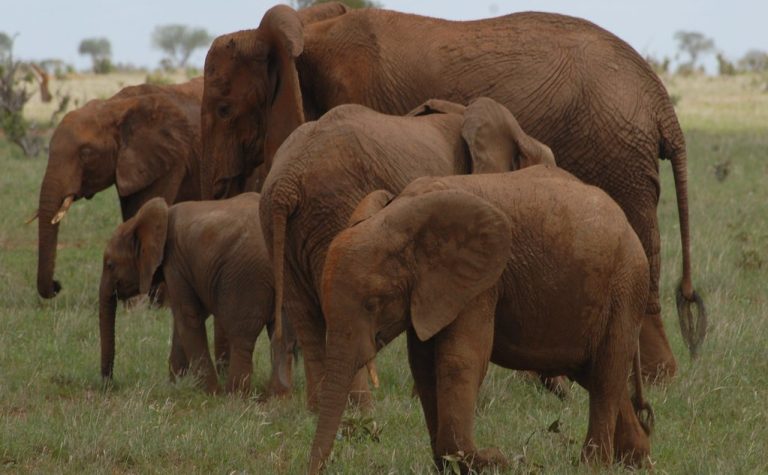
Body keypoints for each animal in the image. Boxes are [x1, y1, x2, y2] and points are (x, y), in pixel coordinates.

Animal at [98, 193, 294, 396]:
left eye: (110, 265)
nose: (109, 384)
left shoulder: (175, 263)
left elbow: (188, 316)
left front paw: (210, 393)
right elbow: (183, 319)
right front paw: (176, 386)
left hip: (248, 276)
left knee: (242, 337)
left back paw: (234, 395)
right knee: (283, 336)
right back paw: (278, 396)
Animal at [259, 97, 555, 410]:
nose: (556, 391)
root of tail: (287, 181)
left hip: (281, 226)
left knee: (305, 314)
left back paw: (319, 410)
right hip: (334, 213)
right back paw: (362, 411)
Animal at [309, 165, 655, 473]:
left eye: (372, 304)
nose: (318, 467)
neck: (400, 215)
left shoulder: (482, 283)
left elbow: (460, 360)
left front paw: (492, 461)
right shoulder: (430, 292)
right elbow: (423, 365)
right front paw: (449, 466)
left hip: (626, 286)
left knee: (607, 374)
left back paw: (593, 465)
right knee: (596, 374)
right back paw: (637, 461)